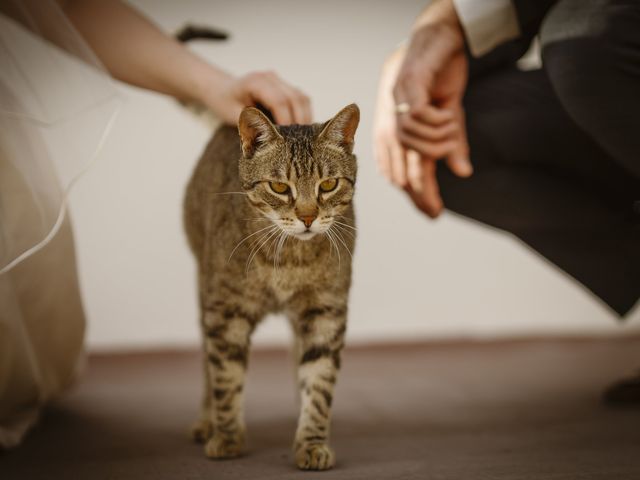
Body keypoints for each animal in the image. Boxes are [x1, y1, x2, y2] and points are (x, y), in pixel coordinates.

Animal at [182, 102, 360, 468]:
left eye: (328, 184)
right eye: (279, 187)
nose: (307, 217)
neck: (291, 260)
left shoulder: (326, 312)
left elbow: (319, 380)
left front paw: (312, 441)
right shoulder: (226, 312)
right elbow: (226, 377)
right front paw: (227, 436)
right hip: (204, 292)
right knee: (207, 365)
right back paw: (207, 420)